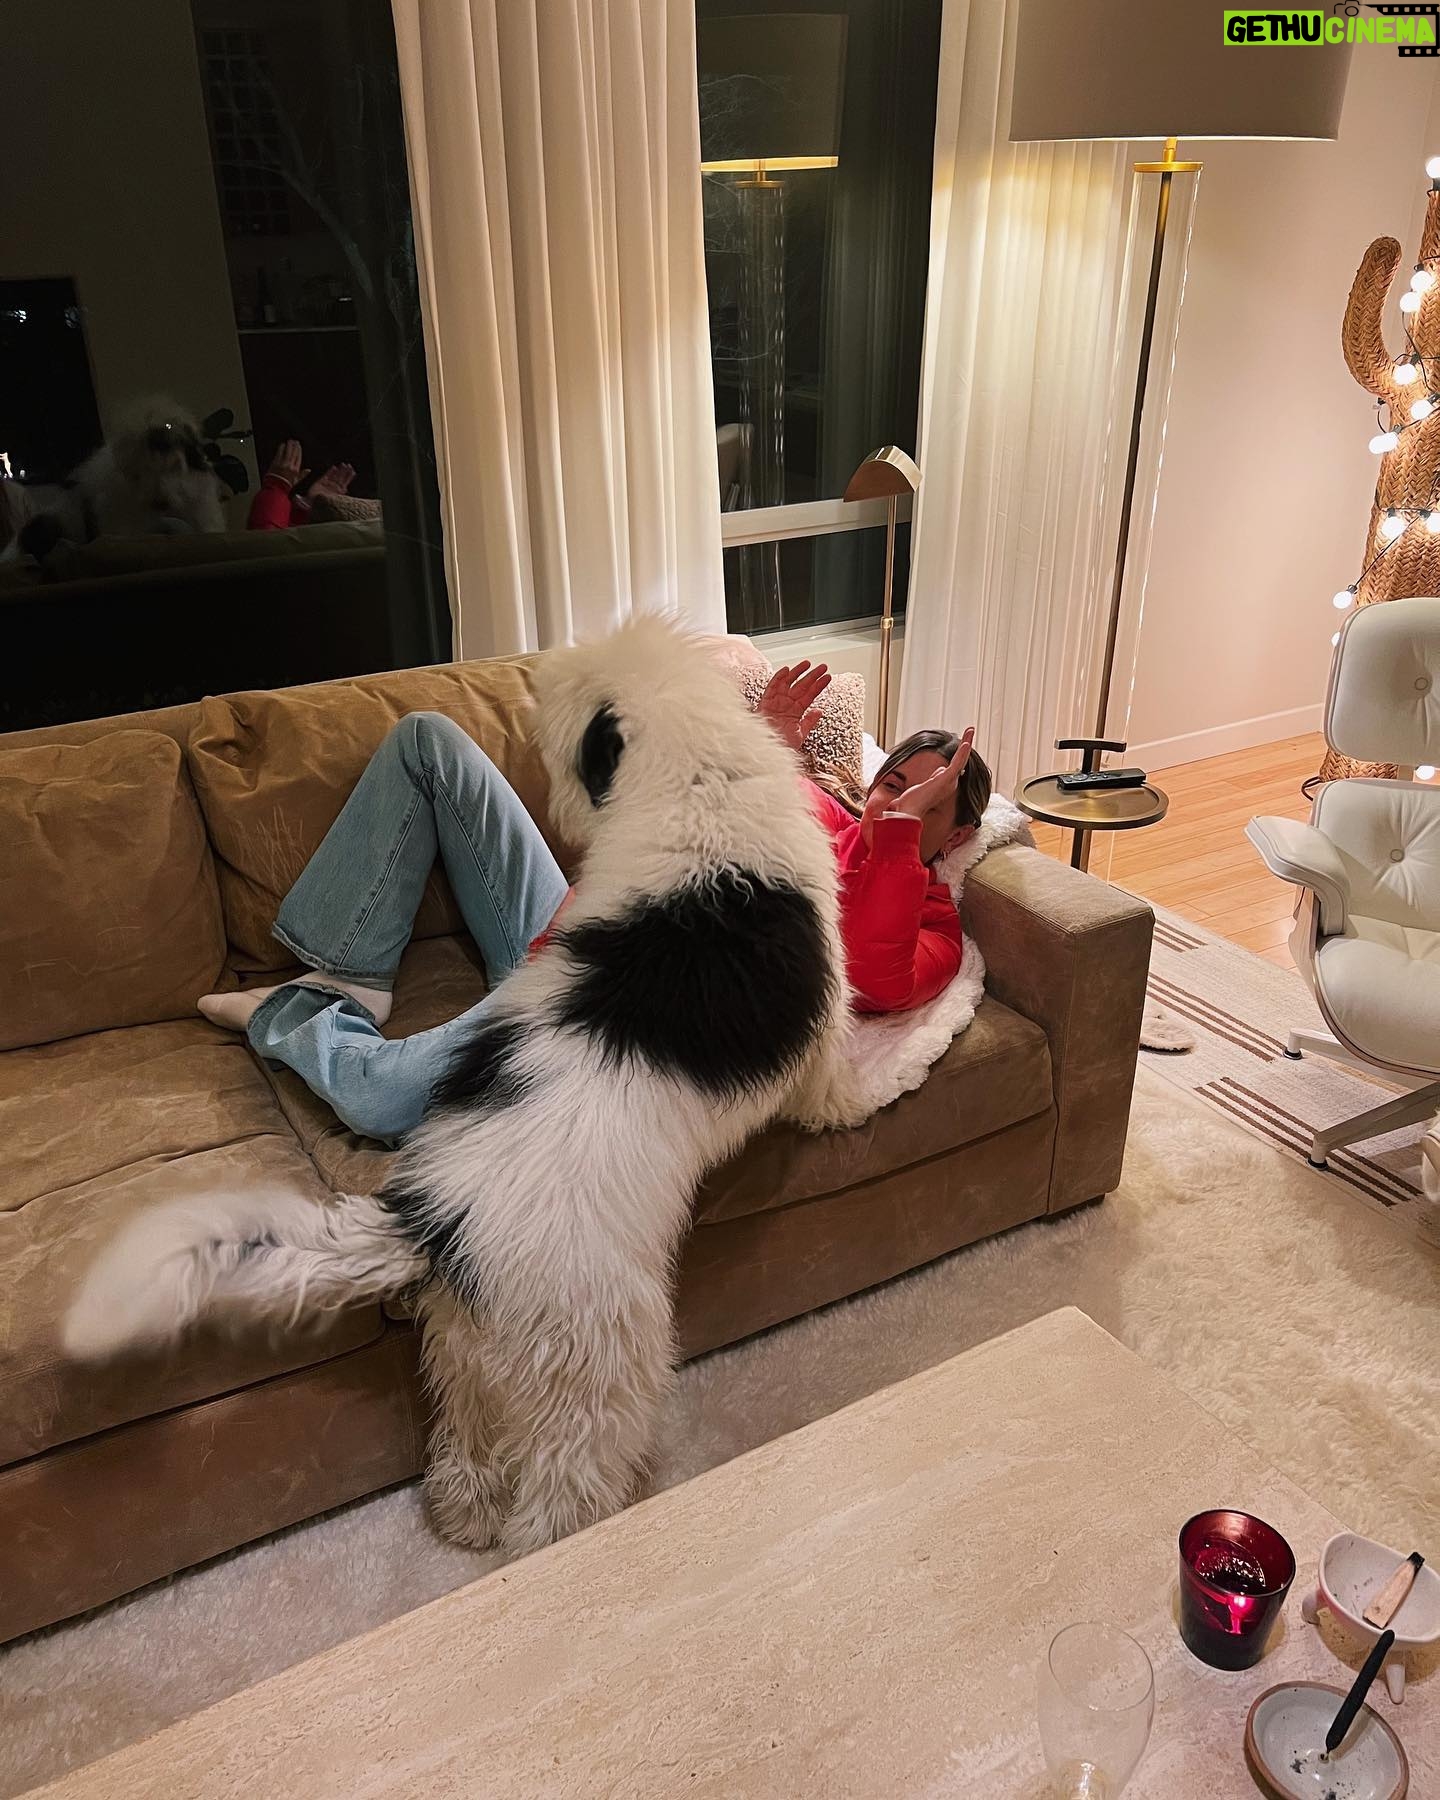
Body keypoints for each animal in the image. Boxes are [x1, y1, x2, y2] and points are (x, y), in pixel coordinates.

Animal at [65, 619, 847, 1555]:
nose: (555, 798)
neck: (699, 785)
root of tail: (433, 1221)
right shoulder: (824, 1021)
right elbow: (831, 1074)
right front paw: (853, 1103)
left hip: (468, 1341)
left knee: (466, 1434)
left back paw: (464, 1515)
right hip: (596, 1359)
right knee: (560, 1485)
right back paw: (562, 1545)